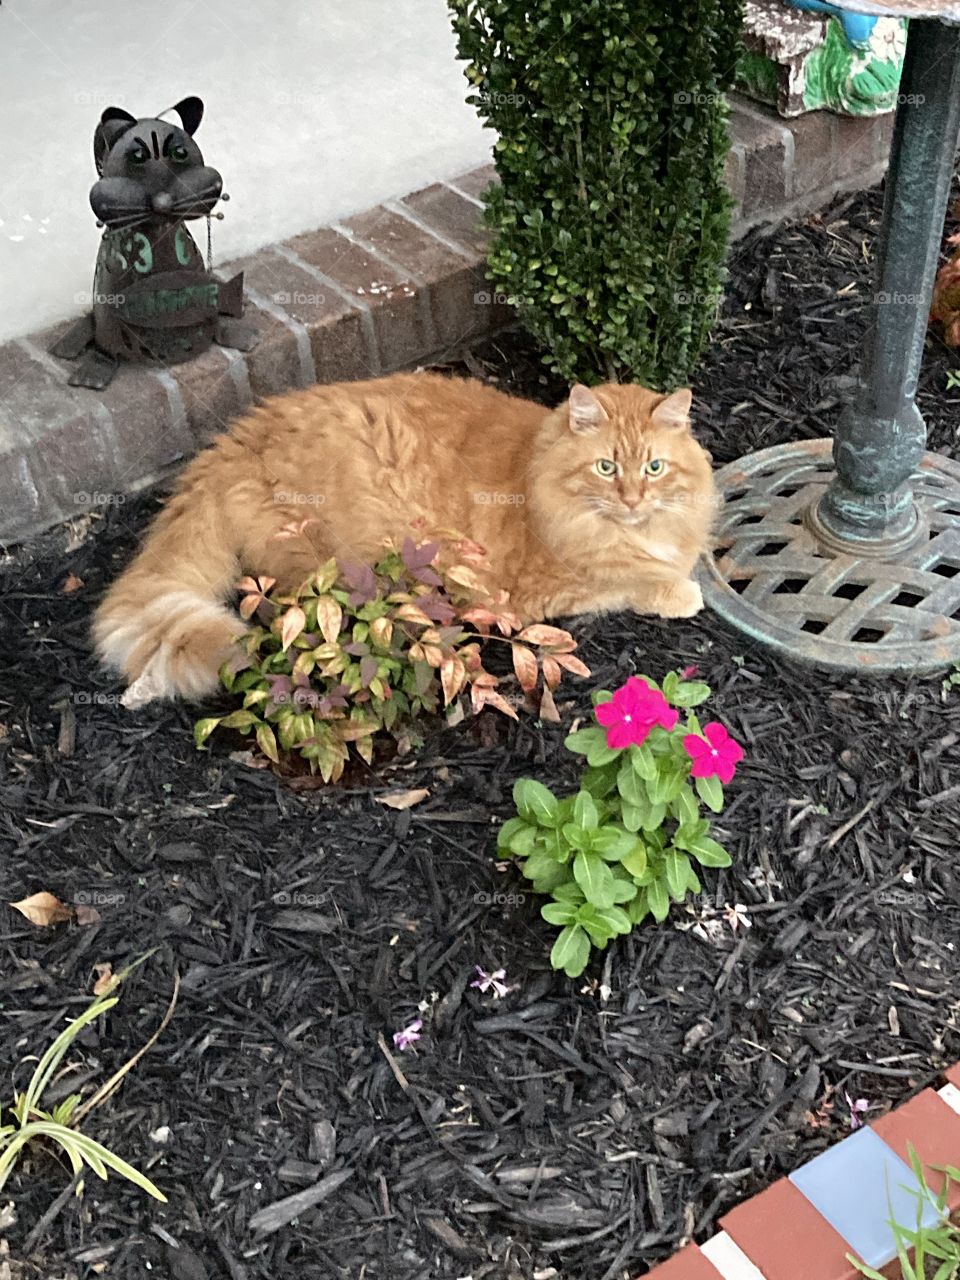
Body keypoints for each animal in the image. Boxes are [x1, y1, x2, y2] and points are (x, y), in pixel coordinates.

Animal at [94, 373, 716, 706]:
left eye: (655, 468)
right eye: (607, 468)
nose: (633, 499)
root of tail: (237, 440)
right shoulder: (550, 585)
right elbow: (632, 577)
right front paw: (682, 592)